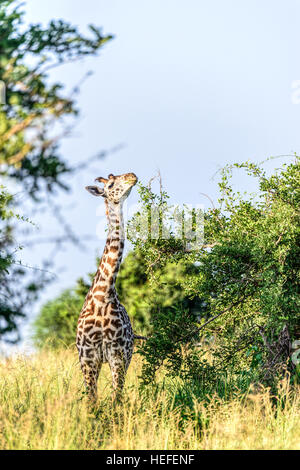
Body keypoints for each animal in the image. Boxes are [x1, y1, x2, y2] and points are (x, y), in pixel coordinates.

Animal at [77, 171, 139, 402]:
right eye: (111, 184)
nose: (132, 176)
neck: (104, 295)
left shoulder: (118, 355)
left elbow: (115, 400)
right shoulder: (88, 358)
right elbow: (92, 401)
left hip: (127, 356)